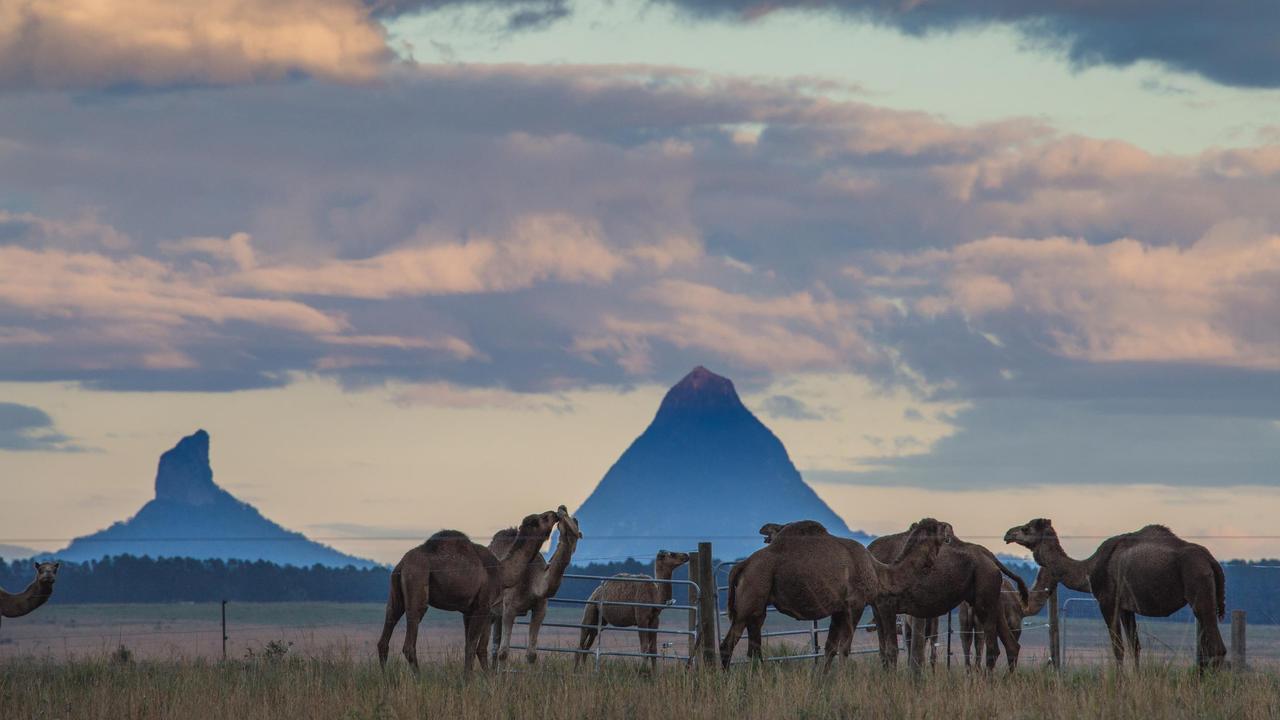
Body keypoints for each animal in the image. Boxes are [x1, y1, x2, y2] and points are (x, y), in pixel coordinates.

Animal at [376, 507, 563, 671]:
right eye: (543, 518)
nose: (555, 513)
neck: (502, 571)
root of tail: (401, 564)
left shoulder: (472, 611)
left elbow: (474, 648)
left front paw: (480, 680)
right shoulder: (482, 607)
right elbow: (474, 648)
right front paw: (470, 681)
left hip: (396, 593)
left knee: (385, 634)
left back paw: (387, 678)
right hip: (417, 582)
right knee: (409, 642)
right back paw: (418, 679)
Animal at [721, 515, 952, 666]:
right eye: (938, 529)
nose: (950, 528)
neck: (879, 572)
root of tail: (742, 566)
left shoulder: (838, 609)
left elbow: (829, 648)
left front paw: (821, 685)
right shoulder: (855, 604)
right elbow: (844, 649)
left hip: (757, 607)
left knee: (754, 648)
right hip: (749, 598)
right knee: (728, 645)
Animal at [860, 520, 1029, 666]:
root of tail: (991, 558)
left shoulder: (887, 606)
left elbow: (891, 650)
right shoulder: (877, 608)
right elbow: (883, 651)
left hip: (984, 599)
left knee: (993, 648)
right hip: (992, 601)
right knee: (1011, 646)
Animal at [1003, 515, 1223, 666]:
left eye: (1025, 528)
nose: (1007, 534)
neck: (1088, 570)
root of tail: (1211, 561)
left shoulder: (1108, 601)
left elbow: (1118, 648)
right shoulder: (1127, 607)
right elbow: (1135, 647)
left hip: (1199, 590)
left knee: (1217, 647)